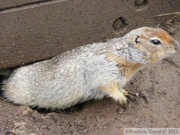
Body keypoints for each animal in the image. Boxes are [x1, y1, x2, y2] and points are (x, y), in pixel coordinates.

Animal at [1, 26, 179, 109]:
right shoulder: (106, 69)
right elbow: (107, 85)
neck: (124, 53)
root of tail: (8, 80)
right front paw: (121, 98)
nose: (176, 45)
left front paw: (126, 92)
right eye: (155, 41)